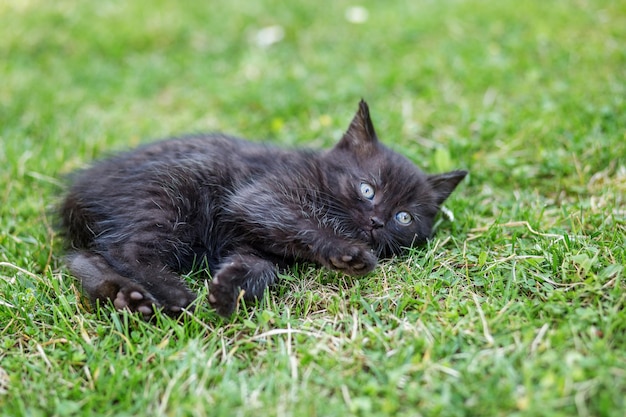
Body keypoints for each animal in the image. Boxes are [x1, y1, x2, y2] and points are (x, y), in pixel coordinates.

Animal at [61, 100, 466, 316]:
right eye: (367, 189)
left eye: (404, 218)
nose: (377, 222)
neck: (316, 173)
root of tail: (76, 192)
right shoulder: (260, 197)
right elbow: (303, 223)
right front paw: (348, 253)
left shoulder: (254, 246)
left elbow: (261, 267)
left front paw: (230, 290)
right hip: (171, 192)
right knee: (124, 250)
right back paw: (172, 293)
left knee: (83, 257)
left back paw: (124, 296)